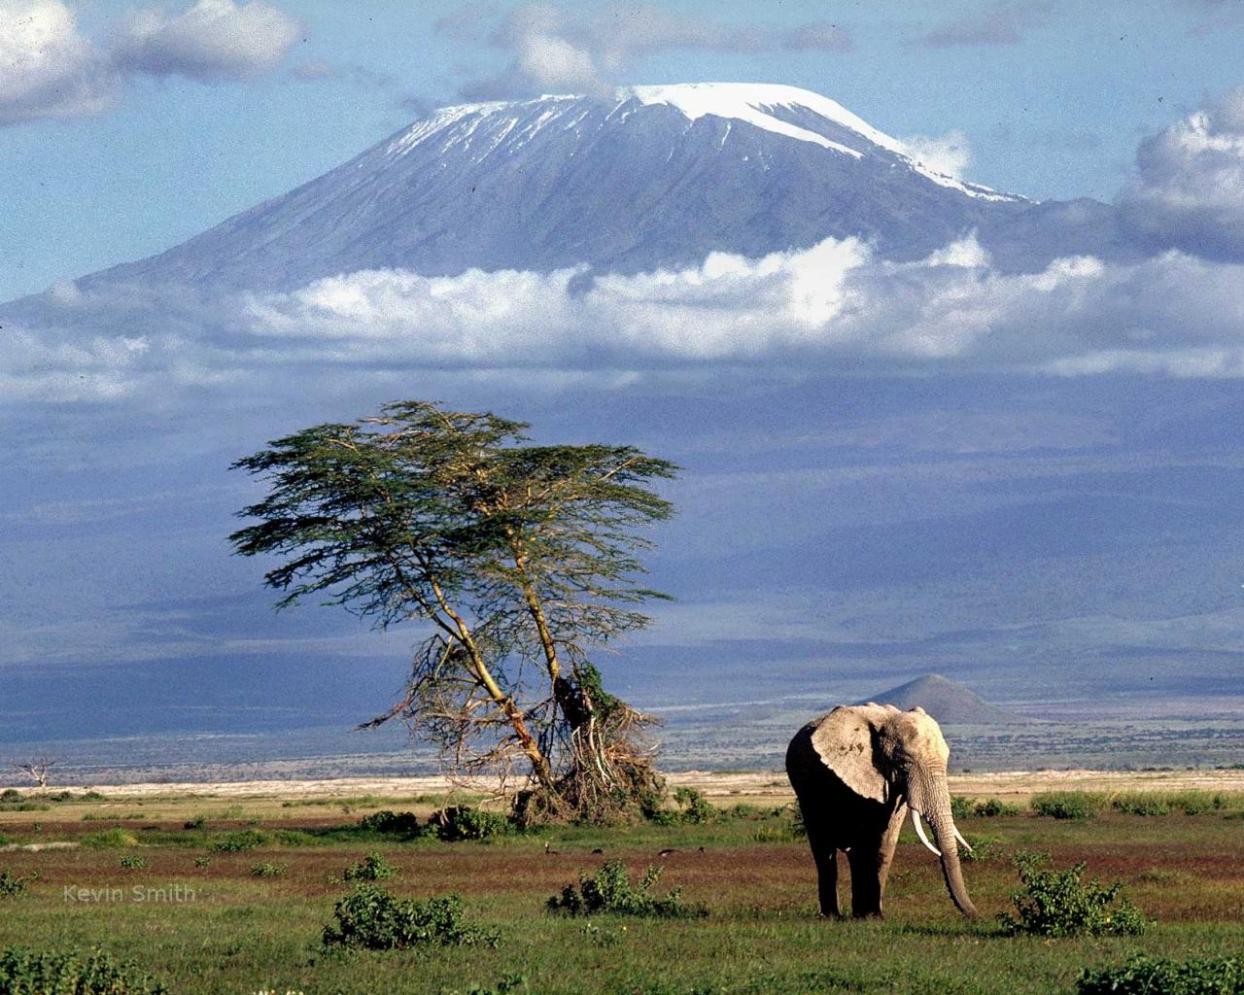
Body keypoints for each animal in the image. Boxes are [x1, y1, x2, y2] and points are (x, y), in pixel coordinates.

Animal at [786, 701, 980, 915]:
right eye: (905, 763)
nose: (977, 916)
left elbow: (887, 839)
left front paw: (874, 916)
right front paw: (869, 915)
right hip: (805, 788)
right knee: (823, 848)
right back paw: (832, 916)